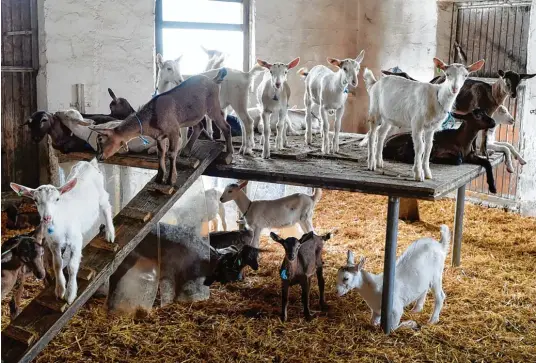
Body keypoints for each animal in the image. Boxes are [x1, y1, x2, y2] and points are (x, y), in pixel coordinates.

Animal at [10, 160, 115, 304]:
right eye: (36, 200)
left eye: (57, 199)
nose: (47, 217)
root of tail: (89, 162)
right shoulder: (53, 244)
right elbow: (57, 264)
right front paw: (60, 289)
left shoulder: (76, 241)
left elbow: (72, 266)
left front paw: (70, 293)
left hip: (101, 194)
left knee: (106, 207)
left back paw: (110, 233)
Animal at [91, 70, 230, 186]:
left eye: (101, 140)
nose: (99, 157)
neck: (152, 117)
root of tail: (213, 80)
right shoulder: (160, 137)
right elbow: (160, 154)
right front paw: (159, 178)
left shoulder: (174, 131)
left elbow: (171, 153)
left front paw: (171, 180)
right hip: (192, 115)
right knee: (199, 126)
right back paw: (186, 151)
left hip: (213, 106)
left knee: (226, 126)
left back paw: (229, 156)